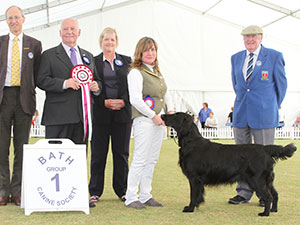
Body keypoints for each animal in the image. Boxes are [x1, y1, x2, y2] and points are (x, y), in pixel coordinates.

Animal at [161, 112, 296, 216]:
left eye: (175, 115)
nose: (162, 115)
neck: (191, 142)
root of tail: (265, 149)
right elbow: (198, 195)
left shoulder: (194, 178)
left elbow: (193, 195)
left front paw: (190, 209)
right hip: (267, 180)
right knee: (275, 194)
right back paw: (273, 210)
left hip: (257, 180)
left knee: (268, 197)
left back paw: (265, 213)